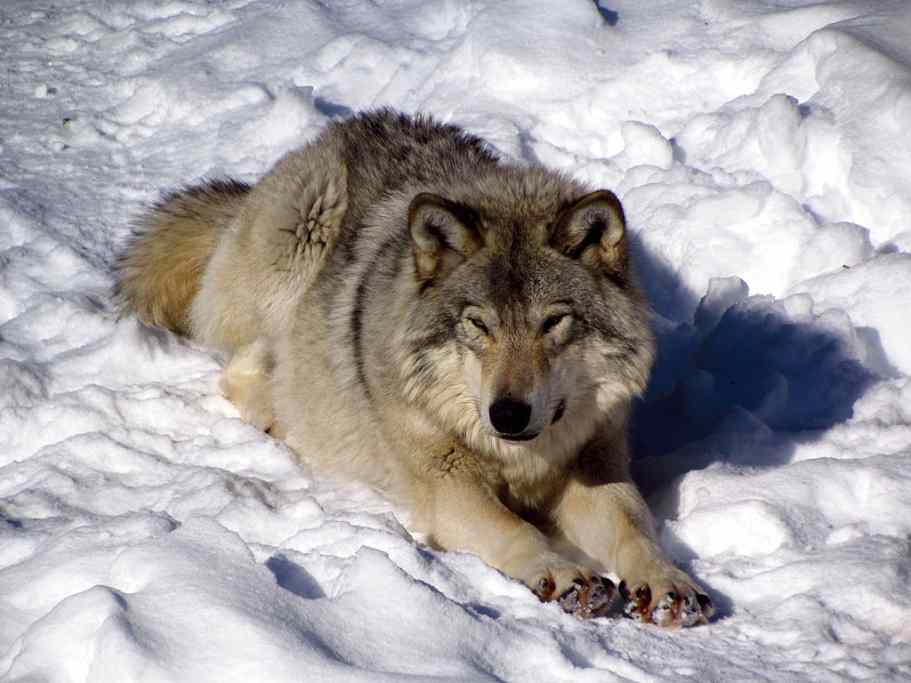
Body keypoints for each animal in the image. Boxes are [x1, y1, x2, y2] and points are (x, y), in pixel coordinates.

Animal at [118, 109, 713, 626]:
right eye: (478, 324)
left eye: (553, 322)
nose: (508, 414)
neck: (519, 458)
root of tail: (336, 132)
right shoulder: (447, 485)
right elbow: (514, 529)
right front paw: (561, 572)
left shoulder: (596, 463)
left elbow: (635, 529)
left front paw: (668, 583)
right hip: (303, 237)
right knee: (243, 373)